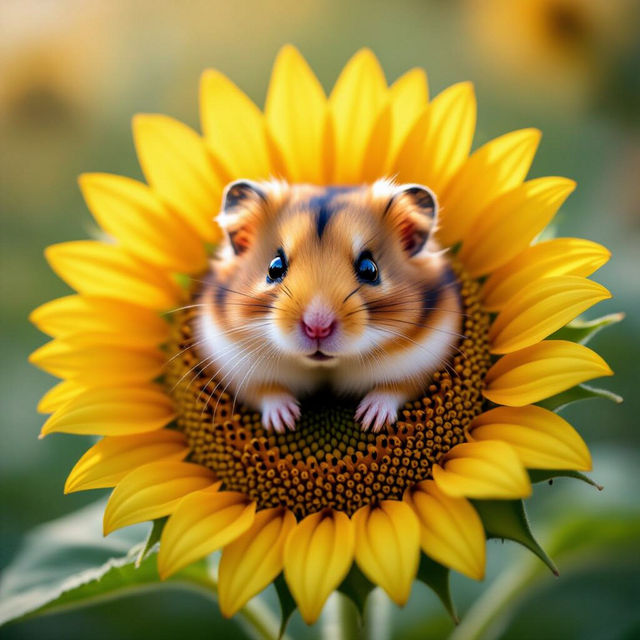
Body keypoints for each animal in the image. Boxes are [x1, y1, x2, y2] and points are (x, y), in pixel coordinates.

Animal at [194, 178, 463, 433]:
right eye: (274, 267)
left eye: (370, 269)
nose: (317, 328)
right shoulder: (238, 368)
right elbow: (267, 392)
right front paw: (286, 421)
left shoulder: (421, 362)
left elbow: (394, 388)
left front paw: (369, 420)